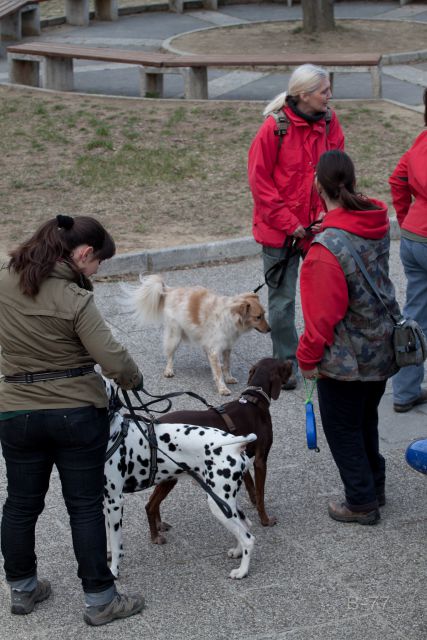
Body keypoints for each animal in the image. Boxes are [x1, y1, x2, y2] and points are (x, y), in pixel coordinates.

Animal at [103, 380, 258, 580]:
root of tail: (236, 444)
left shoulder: (115, 502)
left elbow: (116, 545)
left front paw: (113, 571)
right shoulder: (105, 502)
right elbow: (107, 537)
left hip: (219, 505)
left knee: (248, 538)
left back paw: (242, 571)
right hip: (226, 503)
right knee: (245, 526)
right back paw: (238, 551)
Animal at [124, 276, 270, 396]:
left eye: (264, 314)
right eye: (258, 317)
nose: (270, 329)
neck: (229, 315)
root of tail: (170, 290)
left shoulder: (227, 347)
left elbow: (227, 366)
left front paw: (228, 377)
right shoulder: (215, 349)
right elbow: (218, 373)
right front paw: (222, 388)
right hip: (174, 336)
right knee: (170, 355)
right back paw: (169, 370)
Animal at [145, 358, 292, 544]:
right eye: (283, 365)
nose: (292, 362)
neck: (254, 401)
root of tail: (152, 425)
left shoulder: (240, 458)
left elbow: (251, 488)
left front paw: (253, 504)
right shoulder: (260, 460)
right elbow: (261, 493)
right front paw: (265, 520)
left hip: (167, 474)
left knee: (153, 502)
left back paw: (159, 525)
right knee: (150, 505)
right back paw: (155, 536)